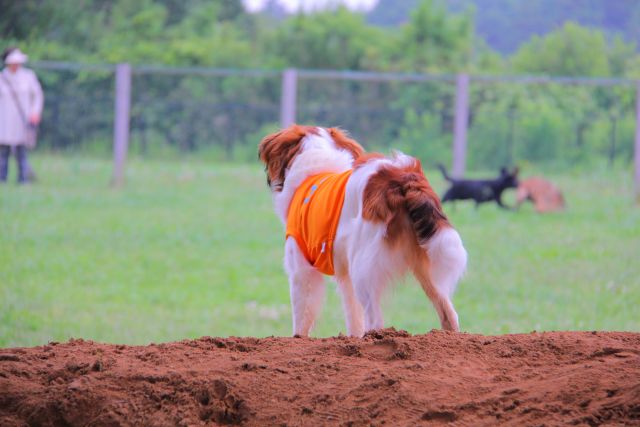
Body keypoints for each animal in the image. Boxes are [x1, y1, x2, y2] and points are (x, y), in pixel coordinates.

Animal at [258, 124, 468, 338]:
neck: (316, 155)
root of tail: (401, 177)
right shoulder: (344, 275)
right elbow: (353, 315)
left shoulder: (301, 270)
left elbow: (302, 318)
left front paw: (298, 339)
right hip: (426, 267)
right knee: (449, 313)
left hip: (363, 268)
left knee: (375, 319)